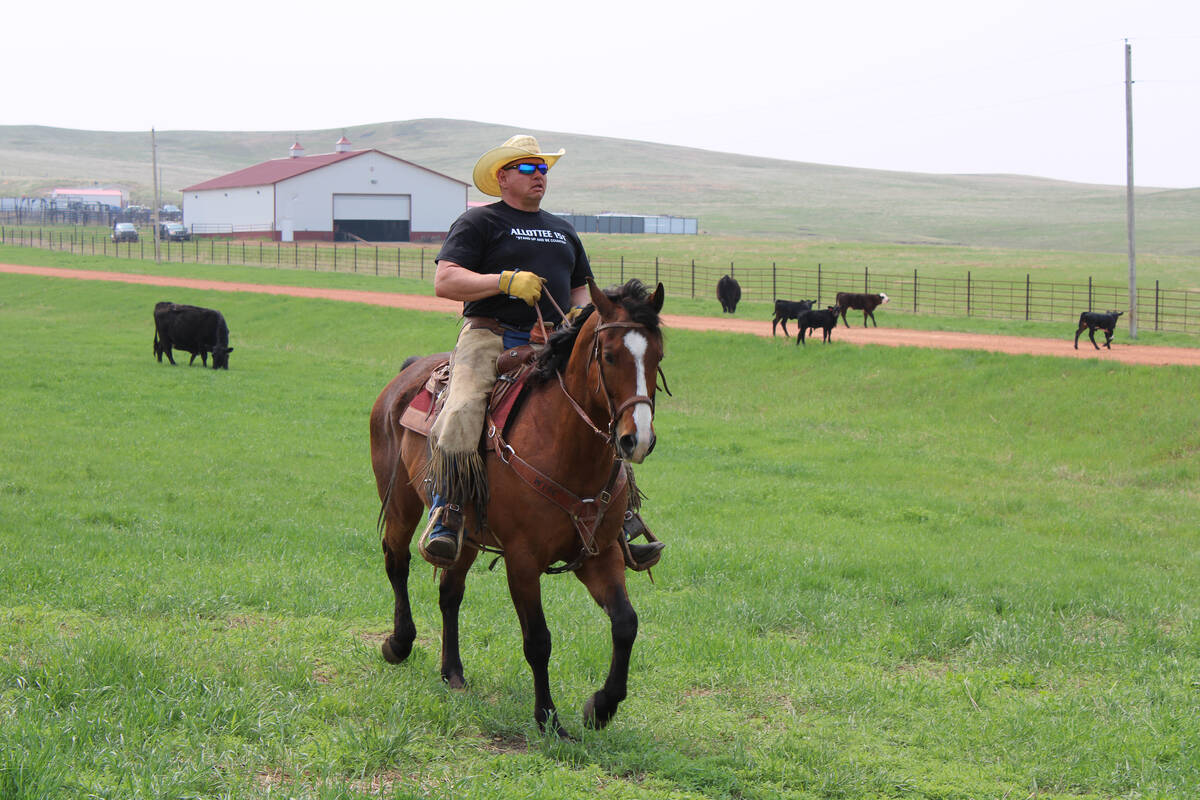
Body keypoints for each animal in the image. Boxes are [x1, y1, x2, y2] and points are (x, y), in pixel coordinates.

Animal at [364, 277, 667, 738]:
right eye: (610, 355)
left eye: (658, 356)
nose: (638, 439)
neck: (567, 450)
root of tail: (406, 375)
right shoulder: (523, 561)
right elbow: (538, 640)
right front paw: (549, 719)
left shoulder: (600, 554)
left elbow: (625, 624)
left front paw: (601, 707)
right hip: (400, 501)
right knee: (396, 561)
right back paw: (398, 644)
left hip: (466, 534)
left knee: (449, 591)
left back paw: (452, 671)